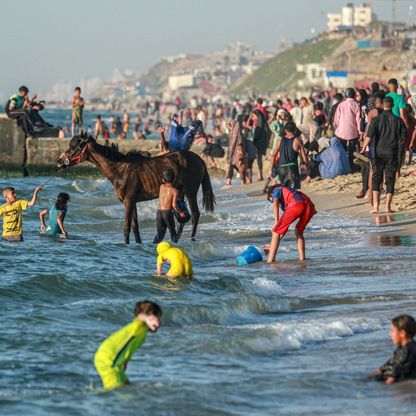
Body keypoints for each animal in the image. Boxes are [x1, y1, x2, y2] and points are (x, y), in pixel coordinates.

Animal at [56, 133, 216, 244]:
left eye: (75, 147)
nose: (59, 161)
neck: (120, 169)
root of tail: (200, 160)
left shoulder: (129, 200)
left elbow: (127, 227)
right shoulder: (132, 202)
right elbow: (135, 227)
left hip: (190, 191)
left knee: (195, 214)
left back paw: (191, 239)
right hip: (180, 193)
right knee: (182, 216)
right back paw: (176, 238)